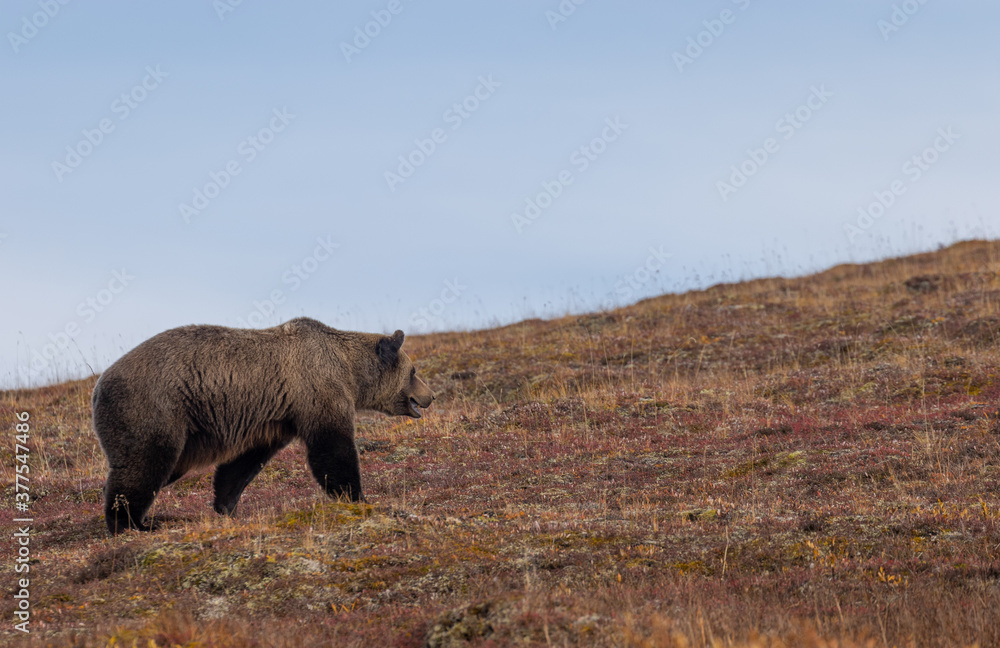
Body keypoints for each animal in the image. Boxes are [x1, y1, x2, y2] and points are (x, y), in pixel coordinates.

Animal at [91, 317, 435, 535]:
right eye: (414, 371)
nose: (430, 396)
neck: (349, 371)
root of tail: (97, 385)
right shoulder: (316, 391)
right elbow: (333, 449)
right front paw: (357, 497)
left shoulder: (276, 417)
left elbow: (243, 464)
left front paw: (226, 505)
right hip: (155, 409)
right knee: (144, 464)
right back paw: (132, 524)